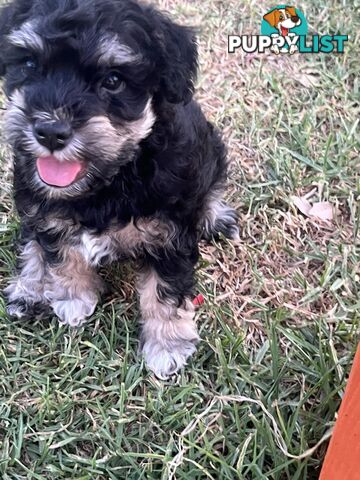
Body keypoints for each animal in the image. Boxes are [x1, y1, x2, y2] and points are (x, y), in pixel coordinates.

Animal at [0, 0, 239, 378]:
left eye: (113, 80)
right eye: (29, 64)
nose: (50, 132)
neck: (110, 179)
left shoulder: (169, 236)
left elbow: (165, 291)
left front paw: (167, 345)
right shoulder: (47, 211)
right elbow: (62, 255)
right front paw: (73, 297)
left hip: (210, 148)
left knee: (212, 185)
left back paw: (216, 217)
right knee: (30, 239)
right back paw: (30, 288)